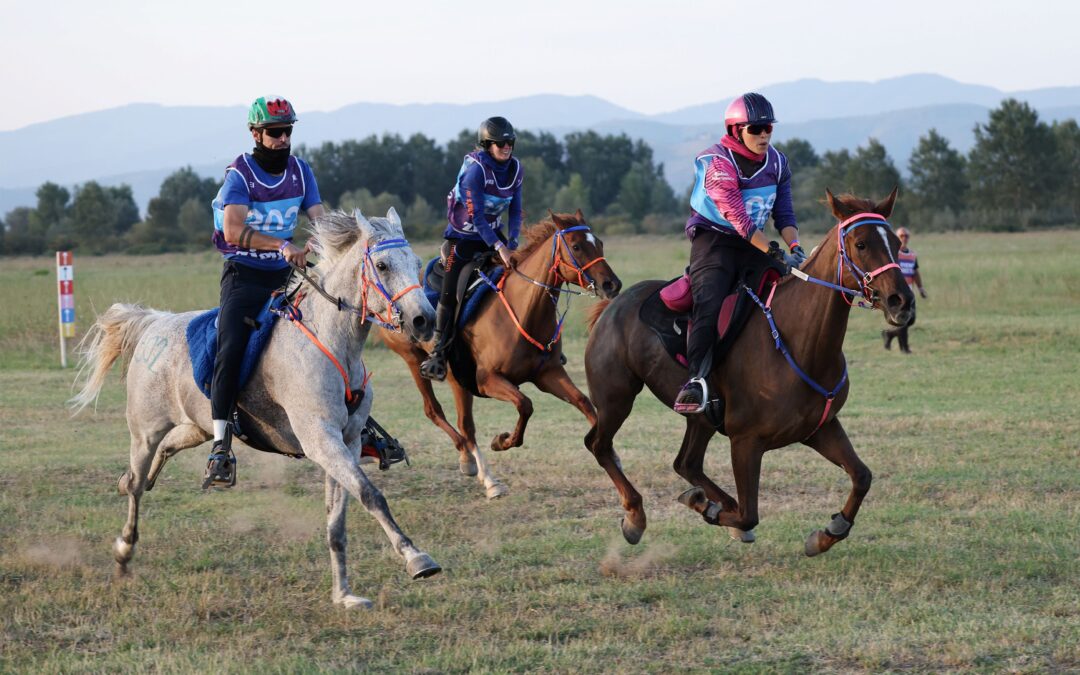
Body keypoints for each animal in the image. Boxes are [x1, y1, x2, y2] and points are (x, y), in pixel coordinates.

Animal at [69, 208, 440, 609]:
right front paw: (417, 558)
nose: (425, 320)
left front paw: (343, 594)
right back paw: (124, 550)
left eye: (416, 263)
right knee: (137, 485)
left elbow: (337, 520)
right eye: (383, 265)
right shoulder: (320, 440)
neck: (331, 341)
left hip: (196, 426)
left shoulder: (348, 441)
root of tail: (154, 322)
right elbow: (371, 494)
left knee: (163, 455)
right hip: (144, 430)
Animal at [380, 210, 622, 501]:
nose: (612, 284)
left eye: (599, 243)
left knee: (464, 424)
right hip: (414, 359)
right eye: (576, 246)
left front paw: (612, 455)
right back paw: (483, 474)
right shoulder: (488, 381)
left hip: (457, 379)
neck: (524, 309)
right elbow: (525, 405)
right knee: (439, 414)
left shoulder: (548, 374)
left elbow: (585, 403)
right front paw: (501, 441)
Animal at [583, 190, 911, 552]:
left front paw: (827, 533)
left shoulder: (819, 428)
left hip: (700, 418)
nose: (902, 301)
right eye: (861, 244)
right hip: (616, 400)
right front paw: (707, 508)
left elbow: (862, 476)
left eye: (897, 243)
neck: (798, 343)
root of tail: (611, 306)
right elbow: (748, 515)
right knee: (599, 445)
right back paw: (636, 517)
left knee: (686, 462)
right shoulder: (746, 442)